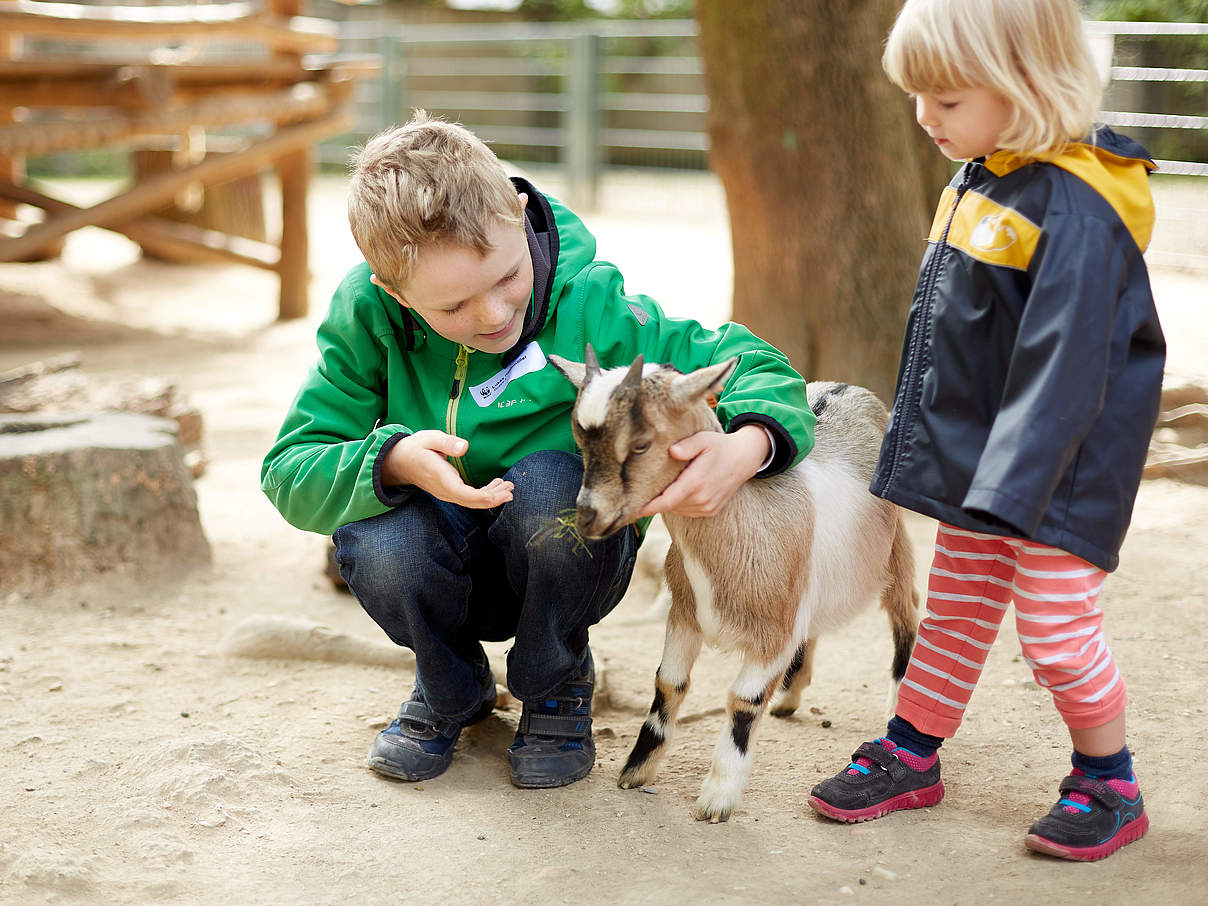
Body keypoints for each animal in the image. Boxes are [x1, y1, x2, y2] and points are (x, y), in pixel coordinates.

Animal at [548, 347, 913, 821]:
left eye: (641, 443)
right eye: (581, 439)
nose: (589, 516)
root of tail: (846, 387)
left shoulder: (773, 636)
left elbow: (744, 702)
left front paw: (717, 798)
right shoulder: (685, 614)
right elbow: (668, 684)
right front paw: (635, 770)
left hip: (895, 548)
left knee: (907, 613)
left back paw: (896, 700)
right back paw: (790, 697)